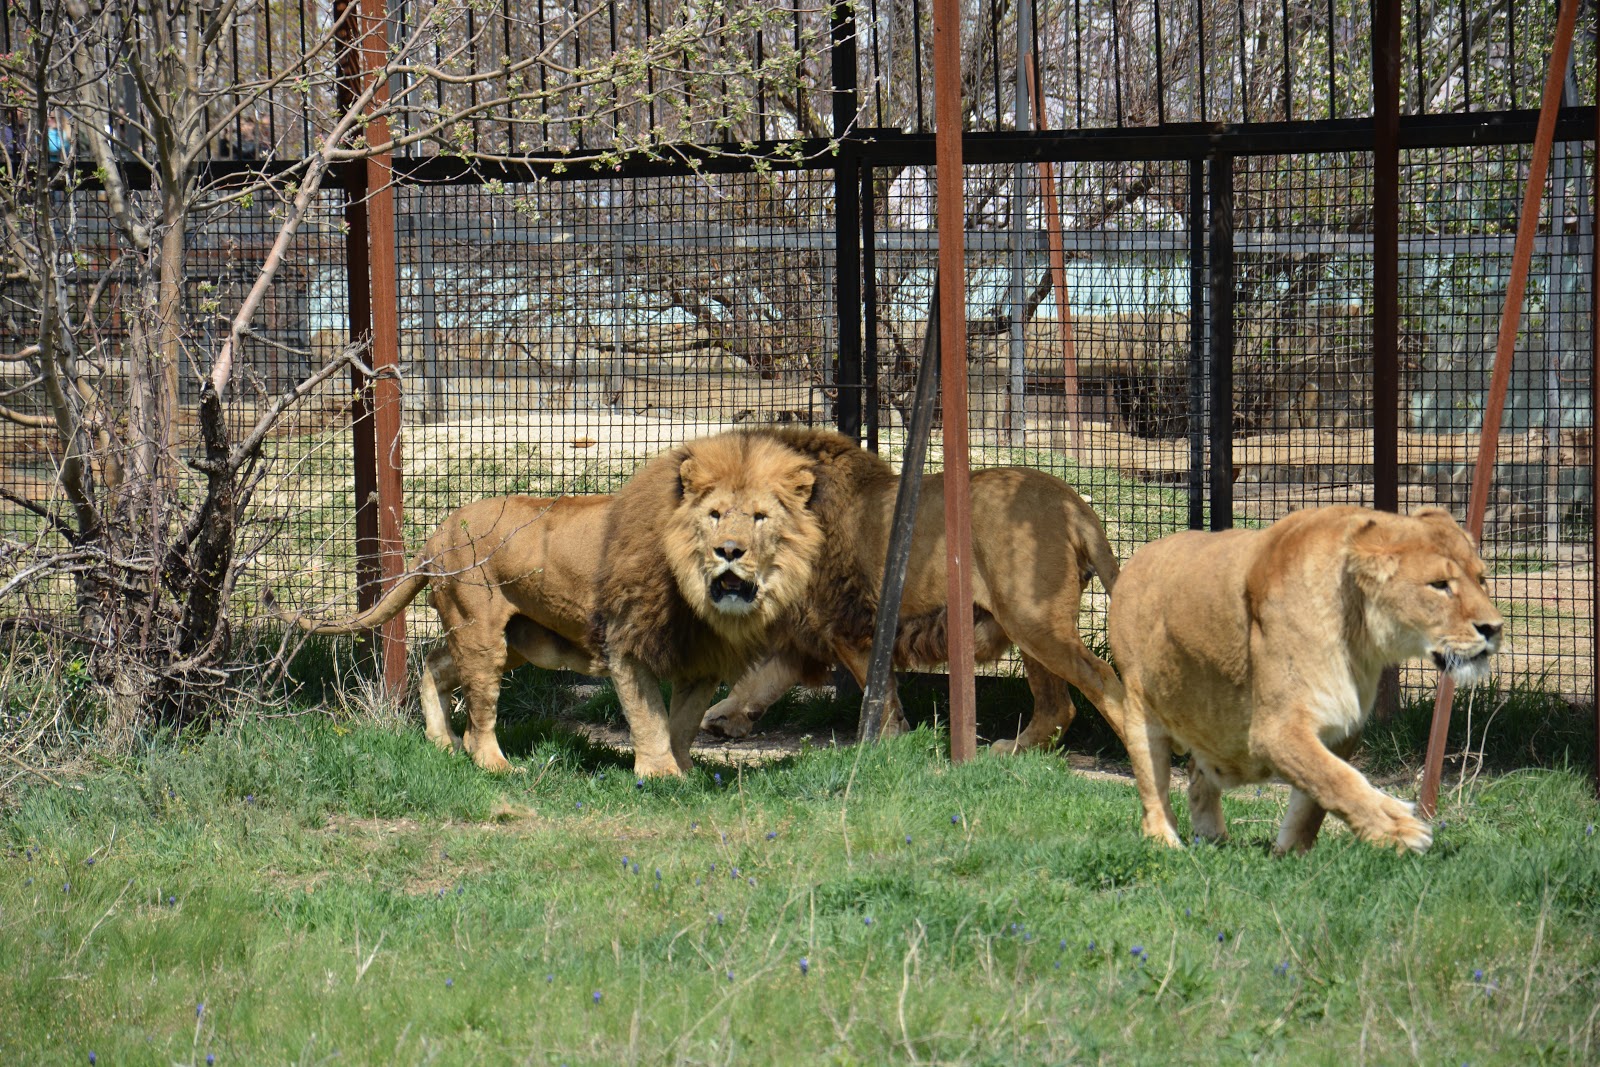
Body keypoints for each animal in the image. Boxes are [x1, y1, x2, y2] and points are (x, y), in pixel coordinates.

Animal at [272, 495, 608, 771]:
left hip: (511, 639)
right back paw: (500, 766)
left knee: (437, 662)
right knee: (479, 714)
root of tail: (439, 532)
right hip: (480, 629)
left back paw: (443, 740)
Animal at [700, 463, 1126, 755]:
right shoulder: (804, 632)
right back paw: (1016, 750)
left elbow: (877, 685)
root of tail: (1073, 503)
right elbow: (760, 677)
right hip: (1028, 623)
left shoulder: (847, 625)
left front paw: (886, 739)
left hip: (1032, 618)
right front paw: (724, 716)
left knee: (1102, 679)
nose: (726, 557)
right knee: (1058, 706)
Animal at [1107, 505, 1504, 857]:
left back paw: (1213, 838)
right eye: (1439, 585)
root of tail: (1139, 556)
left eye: (1481, 579)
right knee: (1153, 792)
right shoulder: (1275, 730)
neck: (1358, 636)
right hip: (1141, 714)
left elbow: (1314, 800)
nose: (1494, 628)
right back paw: (1166, 842)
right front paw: (1401, 831)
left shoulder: (1341, 727)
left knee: (1199, 773)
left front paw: (1291, 853)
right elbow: (1337, 781)